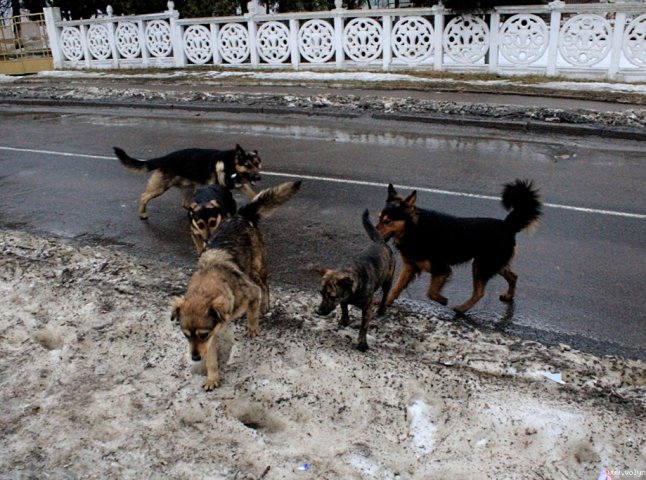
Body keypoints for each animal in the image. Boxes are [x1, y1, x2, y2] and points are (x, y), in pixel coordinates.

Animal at [115, 144, 262, 219]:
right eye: (248, 165)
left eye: (257, 164)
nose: (258, 178)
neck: (230, 162)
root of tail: (164, 158)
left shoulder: (241, 185)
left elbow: (253, 194)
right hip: (160, 187)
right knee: (144, 196)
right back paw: (142, 214)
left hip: (189, 187)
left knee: (185, 203)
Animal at [172, 180, 304, 390]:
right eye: (186, 335)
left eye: (202, 334)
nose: (194, 358)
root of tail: (240, 216)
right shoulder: (211, 337)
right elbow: (211, 359)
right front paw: (212, 378)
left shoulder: (251, 292)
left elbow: (252, 314)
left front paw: (253, 328)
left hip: (257, 268)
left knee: (265, 285)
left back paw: (265, 305)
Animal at [318, 208, 398, 350]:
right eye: (321, 293)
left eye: (332, 296)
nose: (318, 312)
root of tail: (381, 242)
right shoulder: (343, 299)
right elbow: (344, 309)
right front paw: (344, 320)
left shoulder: (367, 309)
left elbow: (363, 327)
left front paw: (362, 343)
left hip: (387, 281)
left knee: (385, 294)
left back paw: (382, 309)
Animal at [378, 181, 544, 316]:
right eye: (379, 218)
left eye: (388, 221)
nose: (375, 233)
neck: (414, 228)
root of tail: (507, 225)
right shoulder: (410, 266)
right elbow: (397, 287)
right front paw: (384, 303)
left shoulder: (442, 269)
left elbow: (431, 292)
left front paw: (443, 300)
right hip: (492, 264)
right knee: (513, 276)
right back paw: (508, 296)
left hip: (481, 265)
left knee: (479, 292)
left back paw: (462, 308)